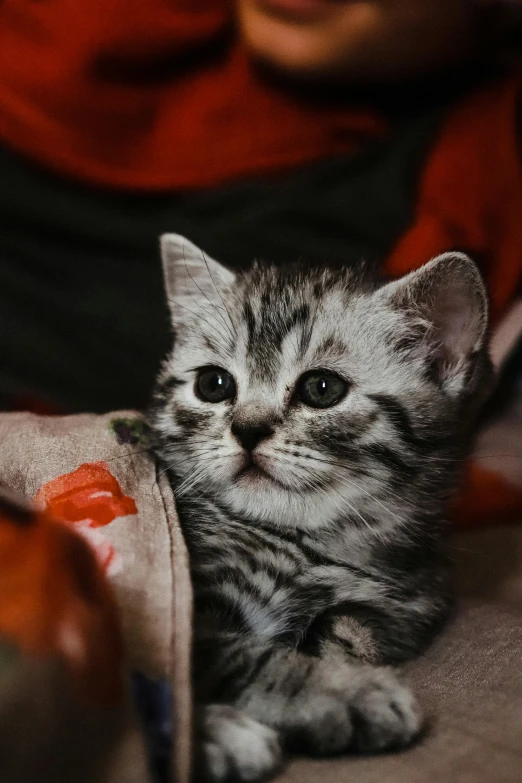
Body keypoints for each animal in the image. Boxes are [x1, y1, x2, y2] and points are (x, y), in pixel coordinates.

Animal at [148, 234, 490, 783]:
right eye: (213, 385)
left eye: (322, 389)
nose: (247, 429)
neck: (314, 546)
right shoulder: (180, 596)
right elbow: (209, 654)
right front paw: (339, 692)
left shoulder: (412, 603)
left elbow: (354, 628)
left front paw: (339, 655)